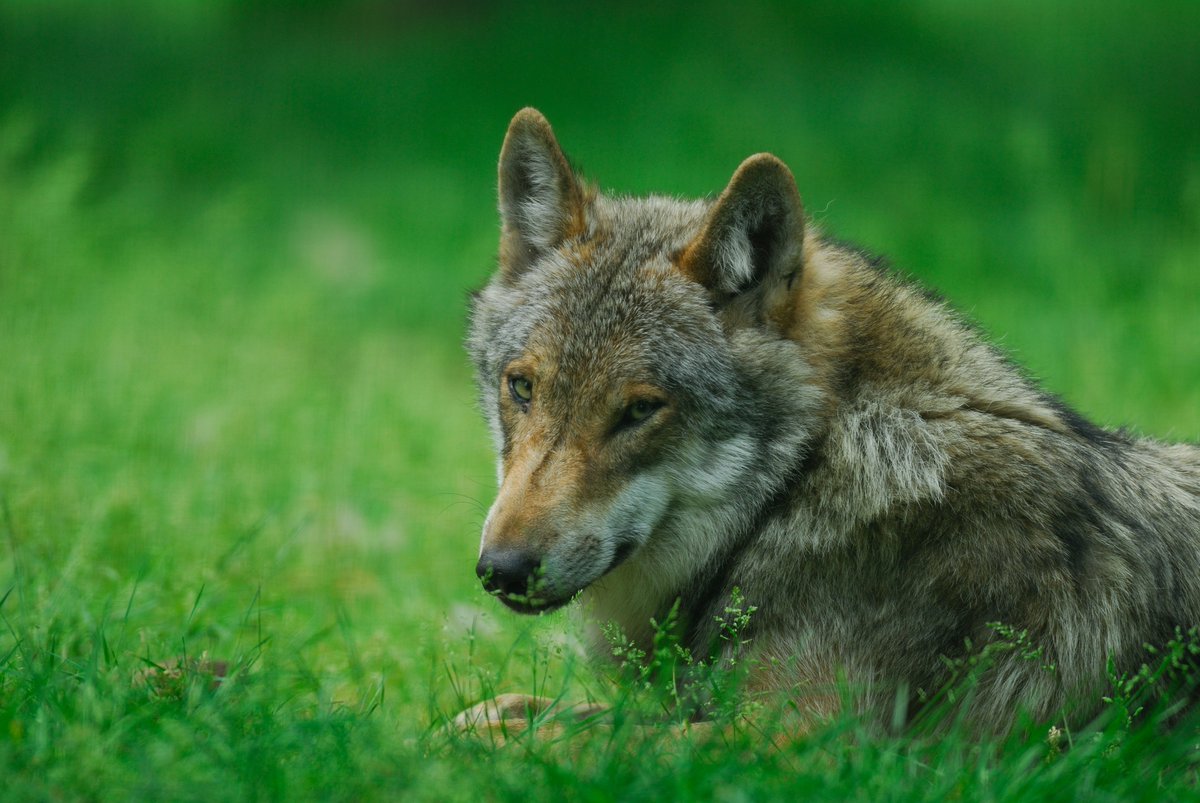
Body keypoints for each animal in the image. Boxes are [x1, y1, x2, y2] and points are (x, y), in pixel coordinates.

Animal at [462, 107, 1200, 735]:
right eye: (522, 387)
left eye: (640, 409)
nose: (503, 569)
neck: (805, 480)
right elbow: (504, 712)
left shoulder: (792, 741)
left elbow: (545, 740)